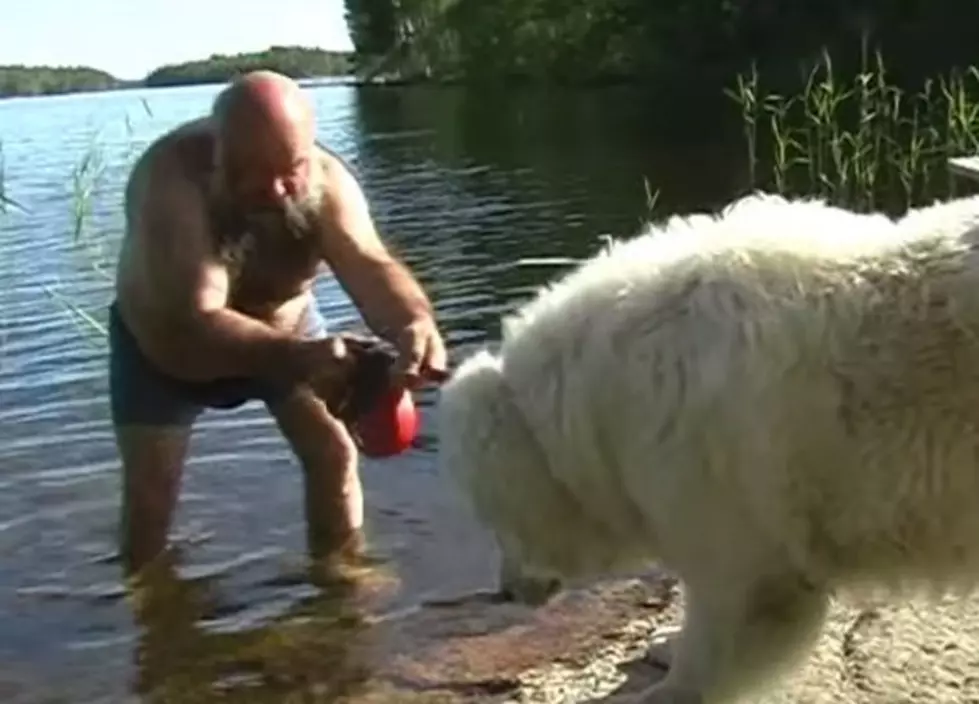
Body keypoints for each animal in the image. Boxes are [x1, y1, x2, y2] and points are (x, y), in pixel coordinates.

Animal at [434, 192, 979, 704]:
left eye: (492, 516)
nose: (506, 590)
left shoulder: (717, 480)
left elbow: (734, 607)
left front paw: (669, 689)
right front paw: (665, 647)